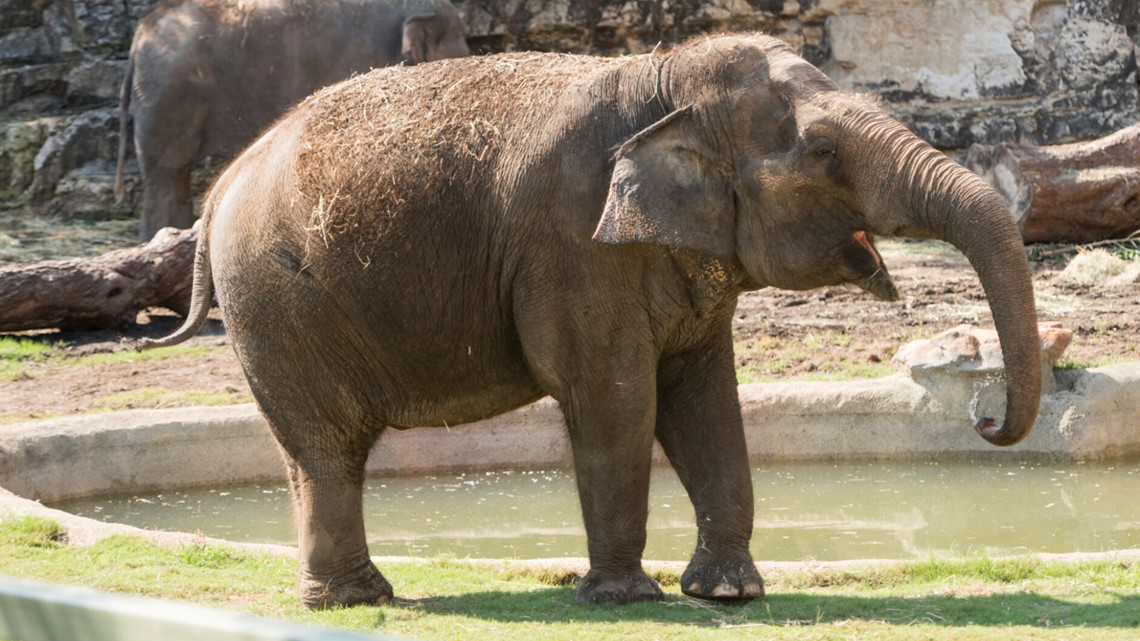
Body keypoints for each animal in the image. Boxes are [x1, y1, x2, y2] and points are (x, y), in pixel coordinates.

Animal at [142, 34, 1044, 606]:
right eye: (823, 153)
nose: (987, 419)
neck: (656, 77)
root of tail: (220, 189)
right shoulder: (570, 242)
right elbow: (614, 395)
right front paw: (625, 597)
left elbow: (704, 400)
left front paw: (731, 593)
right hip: (277, 304)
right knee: (324, 448)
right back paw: (353, 601)